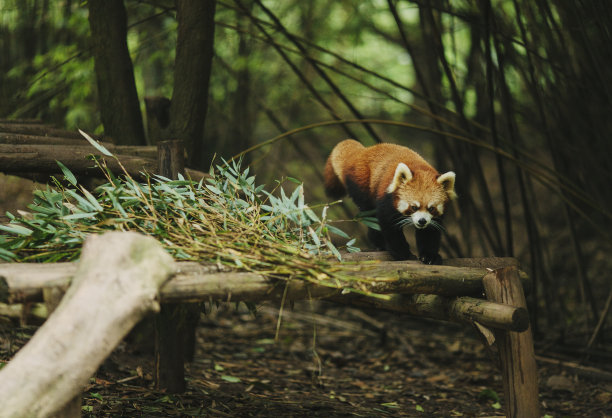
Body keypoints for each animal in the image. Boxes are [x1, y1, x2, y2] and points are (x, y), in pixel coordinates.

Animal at [322, 140, 456, 264]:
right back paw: (379, 243)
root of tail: (364, 151)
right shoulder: (386, 198)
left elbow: (429, 232)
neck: (421, 169)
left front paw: (430, 256)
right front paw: (401, 252)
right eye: (413, 207)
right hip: (362, 185)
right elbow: (389, 225)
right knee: (369, 214)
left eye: (431, 208)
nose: (421, 221)